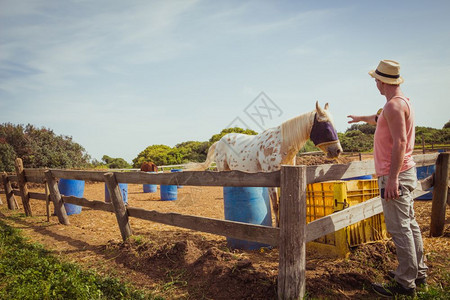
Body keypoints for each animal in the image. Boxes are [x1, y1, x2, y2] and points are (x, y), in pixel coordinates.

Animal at [189, 101, 342, 225]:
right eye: (326, 127)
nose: (337, 150)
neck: (281, 145)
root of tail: (220, 141)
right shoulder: (271, 178)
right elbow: (275, 205)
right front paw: (278, 226)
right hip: (223, 170)